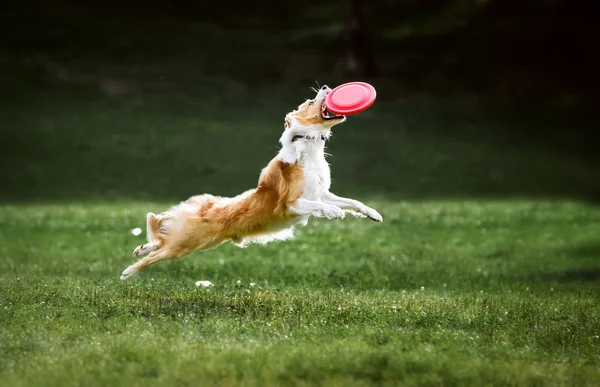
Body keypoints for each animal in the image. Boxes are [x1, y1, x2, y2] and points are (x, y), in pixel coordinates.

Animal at [120, 85, 384, 280]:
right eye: (310, 101)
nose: (327, 87)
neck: (308, 147)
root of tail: (206, 208)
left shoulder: (322, 192)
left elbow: (353, 202)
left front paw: (374, 214)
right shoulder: (291, 204)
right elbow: (322, 206)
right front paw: (334, 212)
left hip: (196, 242)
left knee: (163, 238)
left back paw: (141, 249)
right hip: (186, 244)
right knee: (159, 252)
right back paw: (129, 271)